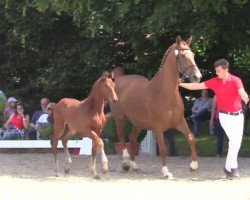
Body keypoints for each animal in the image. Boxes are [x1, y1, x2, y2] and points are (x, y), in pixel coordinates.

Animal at [110, 36, 202, 178]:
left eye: (193, 55)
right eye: (182, 56)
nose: (197, 77)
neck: (165, 93)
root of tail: (119, 80)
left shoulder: (180, 122)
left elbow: (191, 138)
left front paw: (193, 166)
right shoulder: (158, 127)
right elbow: (163, 147)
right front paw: (166, 171)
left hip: (138, 122)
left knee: (132, 138)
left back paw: (134, 165)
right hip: (120, 118)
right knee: (121, 137)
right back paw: (125, 163)